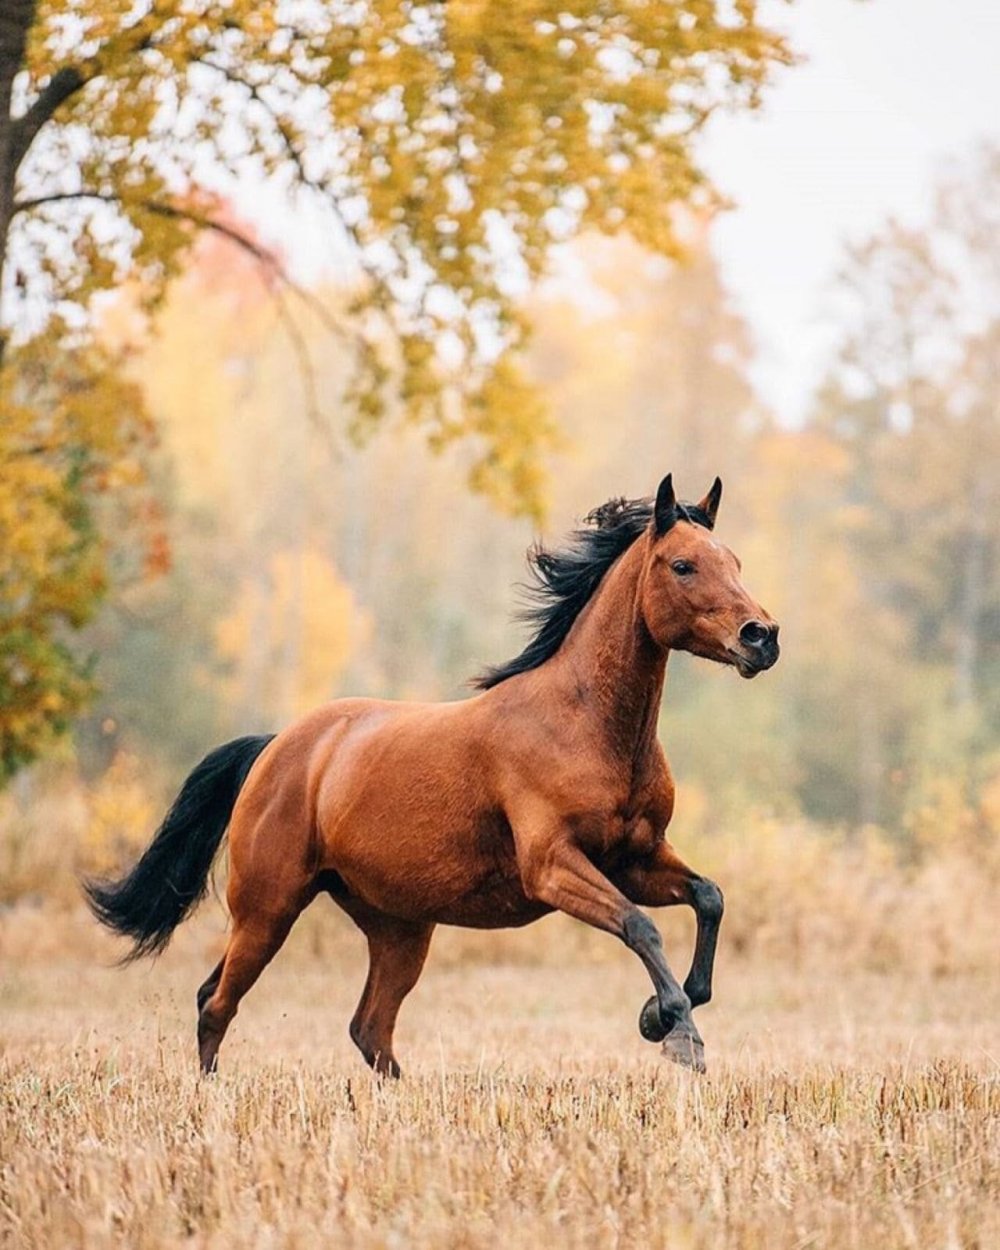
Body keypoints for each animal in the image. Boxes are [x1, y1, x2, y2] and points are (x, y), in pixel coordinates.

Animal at [86, 472, 775, 1080]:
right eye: (682, 565)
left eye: (736, 561)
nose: (762, 637)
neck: (586, 724)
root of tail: (276, 748)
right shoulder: (553, 866)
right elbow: (641, 925)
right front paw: (678, 1035)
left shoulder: (633, 858)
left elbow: (709, 897)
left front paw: (659, 1014)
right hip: (267, 909)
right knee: (217, 1002)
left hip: (398, 929)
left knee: (367, 1027)